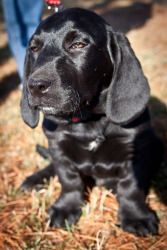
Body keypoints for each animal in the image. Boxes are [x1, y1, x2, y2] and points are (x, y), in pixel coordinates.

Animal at [20, 6, 163, 235]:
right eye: (34, 48)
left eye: (78, 44)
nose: (34, 86)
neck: (89, 119)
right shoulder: (58, 146)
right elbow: (69, 180)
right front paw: (66, 208)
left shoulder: (136, 149)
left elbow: (130, 185)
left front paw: (136, 216)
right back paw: (35, 179)